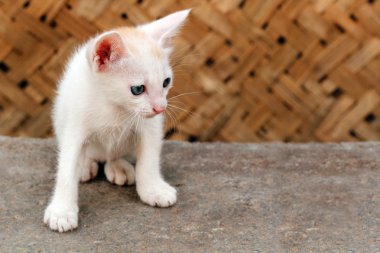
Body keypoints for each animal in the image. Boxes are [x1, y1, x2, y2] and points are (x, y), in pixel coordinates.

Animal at [43, 9, 190, 232]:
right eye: (137, 89)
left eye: (166, 82)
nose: (161, 107)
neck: (115, 107)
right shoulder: (74, 125)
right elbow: (67, 167)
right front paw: (62, 210)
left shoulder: (151, 127)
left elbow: (149, 158)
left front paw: (153, 189)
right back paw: (85, 165)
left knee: (114, 154)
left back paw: (118, 166)